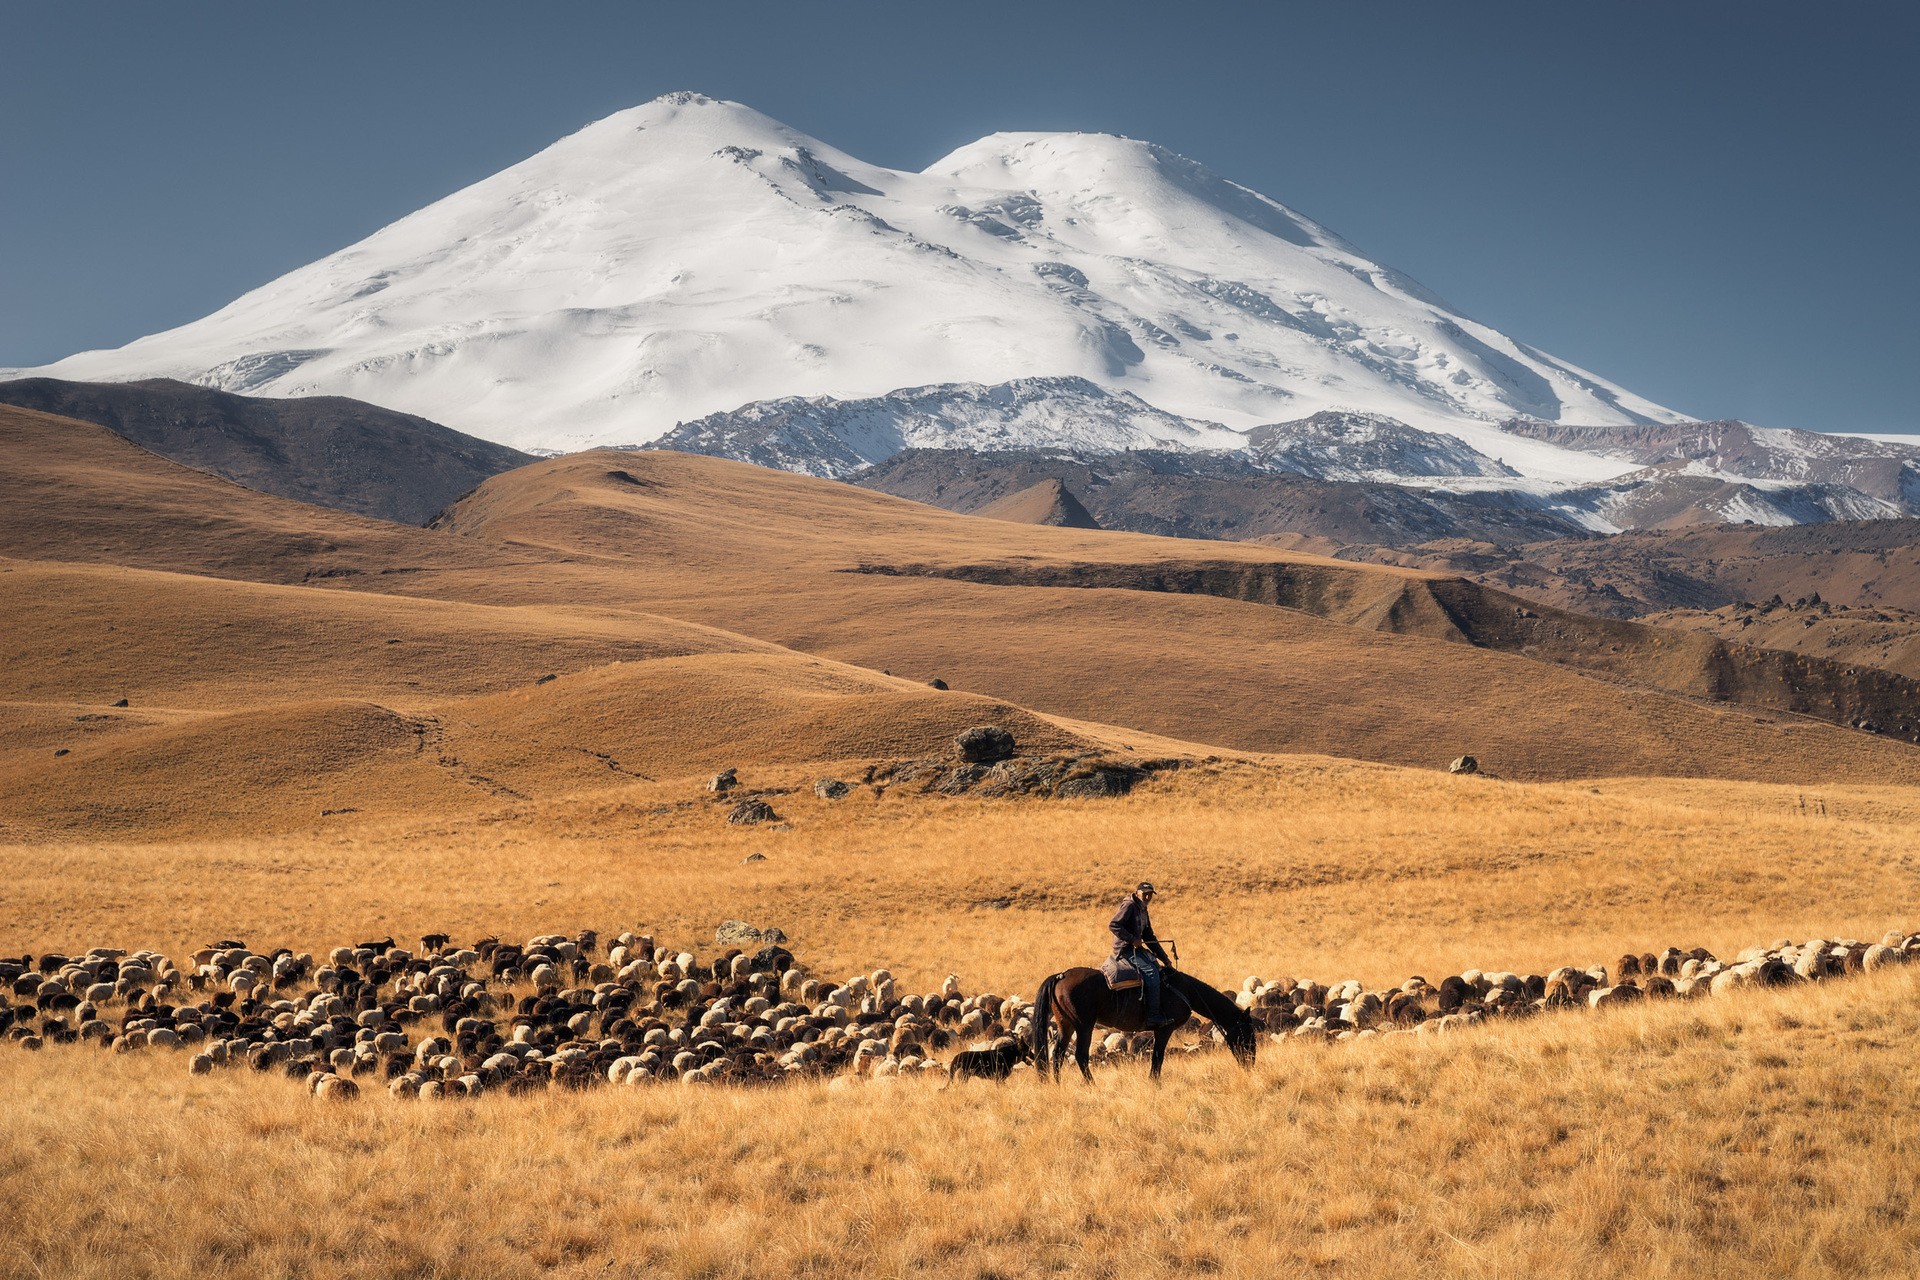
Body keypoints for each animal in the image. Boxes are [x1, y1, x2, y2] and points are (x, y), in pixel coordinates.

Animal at [1036, 959, 1259, 1082]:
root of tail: (1061, 976)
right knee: (1081, 1056)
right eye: (1246, 1033)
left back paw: (1058, 1084)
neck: (1185, 990)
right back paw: (1092, 1085)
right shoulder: (1165, 1029)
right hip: (1084, 1026)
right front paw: (1154, 1082)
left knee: (1057, 1054)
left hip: (1066, 1024)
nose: (1250, 1063)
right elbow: (1158, 1057)